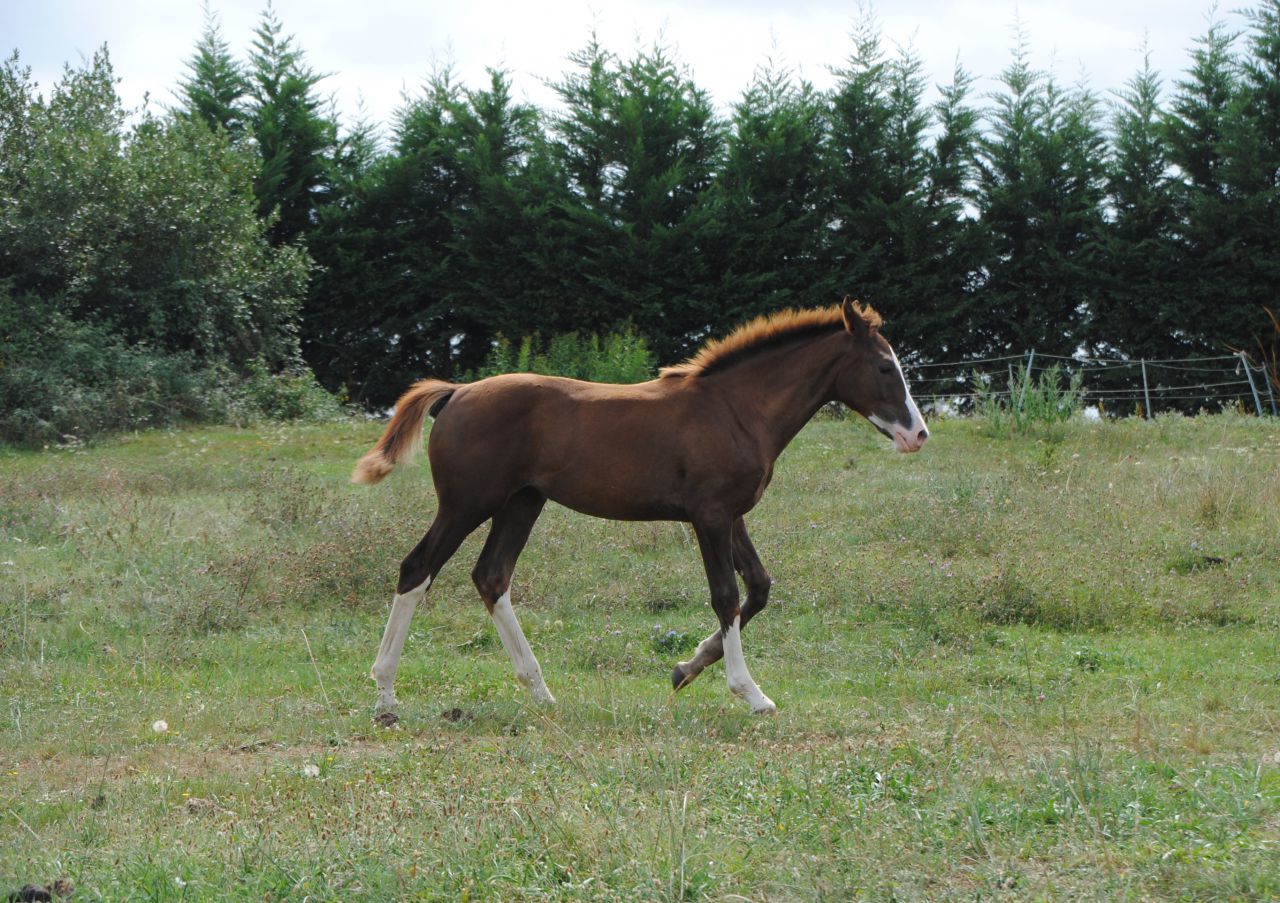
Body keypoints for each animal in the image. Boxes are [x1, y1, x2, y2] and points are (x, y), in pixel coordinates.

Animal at [353, 298, 928, 718]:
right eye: (884, 366)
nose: (918, 435)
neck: (735, 410)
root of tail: (457, 392)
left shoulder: (732, 515)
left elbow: (758, 588)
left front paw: (686, 669)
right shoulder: (709, 516)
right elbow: (726, 597)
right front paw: (750, 693)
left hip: (522, 503)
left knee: (491, 577)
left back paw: (539, 691)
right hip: (466, 504)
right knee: (417, 569)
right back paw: (385, 694)